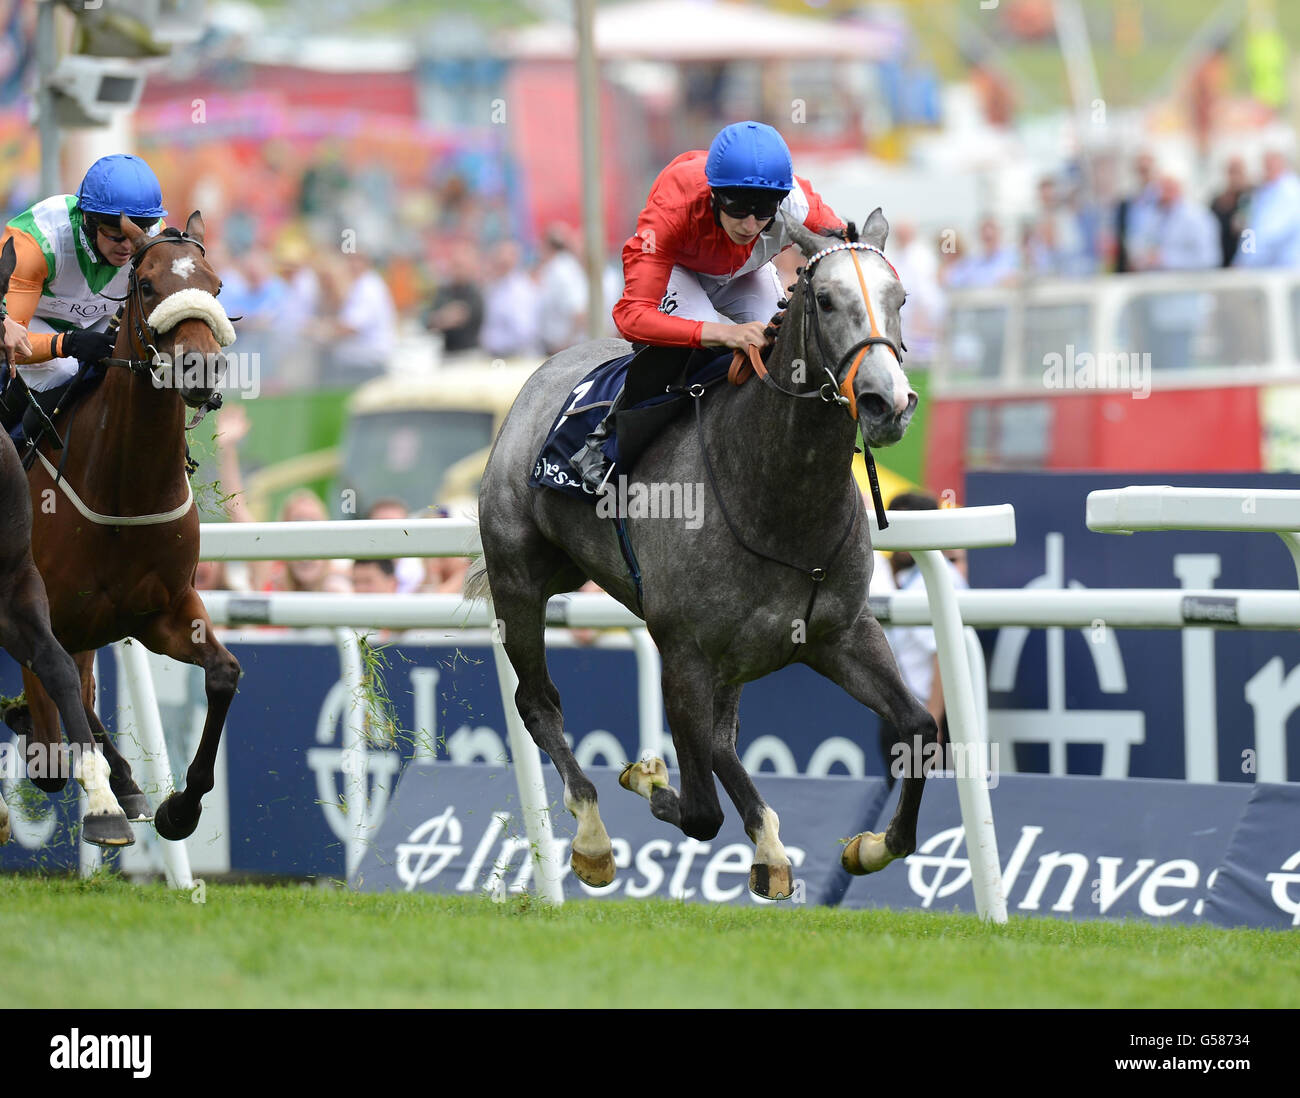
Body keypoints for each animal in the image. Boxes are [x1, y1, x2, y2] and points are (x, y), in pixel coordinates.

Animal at [2, 215, 243, 847]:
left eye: (215, 284)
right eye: (149, 285)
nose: (199, 368)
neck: (123, 489)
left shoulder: (165, 610)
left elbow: (224, 675)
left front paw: (179, 808)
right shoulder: (38, 611)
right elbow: (58, 724)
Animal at [473, 210, 941, 893]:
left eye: (900, 298)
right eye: (827, 301)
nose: (889, 404)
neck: (776, 497)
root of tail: (538, 374)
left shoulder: (843, 633)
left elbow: (919, 729)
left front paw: (871, 847)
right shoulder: (683, 652)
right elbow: (698, 811)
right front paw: (645, 777)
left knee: (722, 740)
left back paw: (769, 845)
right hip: (519, 581)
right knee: (538, 703)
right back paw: (592, 835)